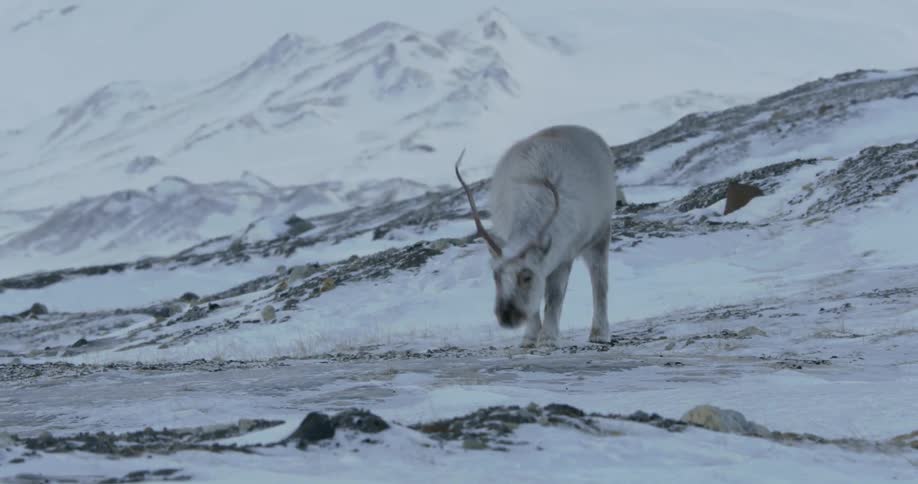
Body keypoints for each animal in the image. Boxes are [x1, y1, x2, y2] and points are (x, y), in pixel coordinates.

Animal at [455, 125, 618, 347]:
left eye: (527, 276)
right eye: (495, 275)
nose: (507, 316)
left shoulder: (564, 255)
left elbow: (554, 297)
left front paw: (548, 338)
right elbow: (535, 306)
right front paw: (529, 337)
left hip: (599, 235)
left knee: (600, 282)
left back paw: (600, 333)